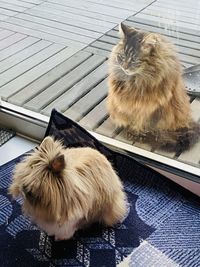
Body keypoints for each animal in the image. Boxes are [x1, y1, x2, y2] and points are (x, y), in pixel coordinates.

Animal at [107, 22, 199, 153]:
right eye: (122, 56)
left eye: (134, 60)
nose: (124, 67)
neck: (135, 81)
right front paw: (132, 131)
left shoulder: (150, 107)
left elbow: (142, 123)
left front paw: (137, 133)